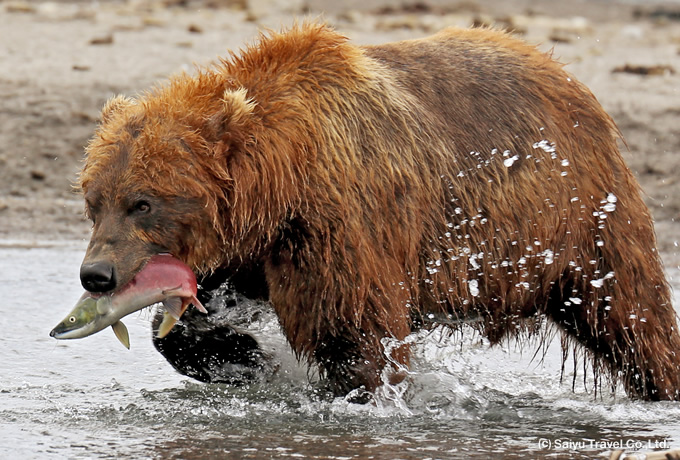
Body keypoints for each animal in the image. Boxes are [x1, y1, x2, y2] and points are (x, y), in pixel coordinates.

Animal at [77, 23, 680, 400]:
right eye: (93, 202)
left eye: (142, 202)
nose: (96, 274)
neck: (279, 180)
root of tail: (569, 77)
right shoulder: (250, 248)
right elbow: (190, 320)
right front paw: (242, 357)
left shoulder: (339, 223)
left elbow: (353, 333)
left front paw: (359, 393)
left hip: (580, 221)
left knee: (634, 318)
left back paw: (661, 386)